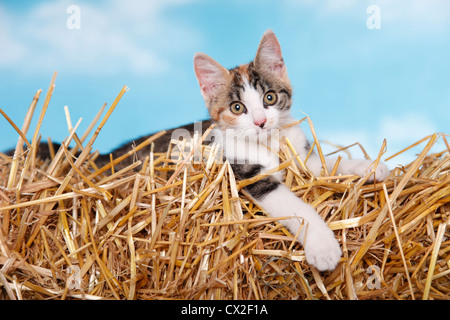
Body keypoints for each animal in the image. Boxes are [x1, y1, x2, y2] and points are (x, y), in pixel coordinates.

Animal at [192, 30, 388, 272]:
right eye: (237, 108)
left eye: (270, 97)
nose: (260, 122)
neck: (270, 142)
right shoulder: (247, 173)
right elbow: (293, 205)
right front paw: (322, 246)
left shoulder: (301, 157)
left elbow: (327, 164)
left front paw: (368, 165)